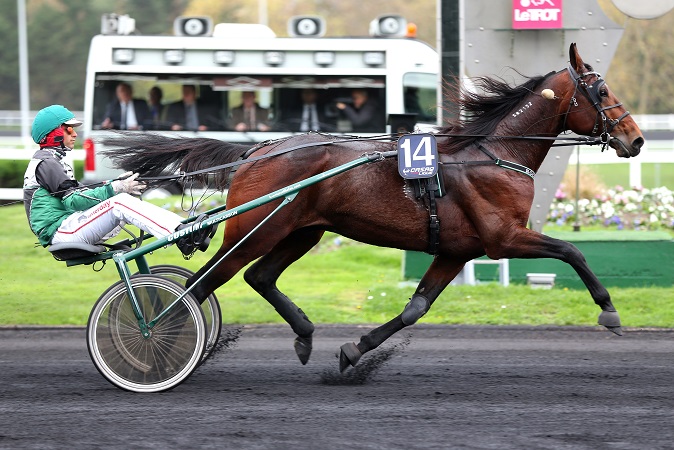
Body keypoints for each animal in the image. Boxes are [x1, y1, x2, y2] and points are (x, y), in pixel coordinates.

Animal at [103, 44, 640, 370]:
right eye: (602, 90)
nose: (634, 139)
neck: (493, 154)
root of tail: (259, 150)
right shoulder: (502, 238)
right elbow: (572, 251)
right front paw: (610, 311)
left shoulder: (458, 250)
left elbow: (416, 308)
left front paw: (354, 349)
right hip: (256, 228)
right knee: (202, 284)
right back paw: (158, 344)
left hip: (302, 231)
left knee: (258, 277)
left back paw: (304, 334)